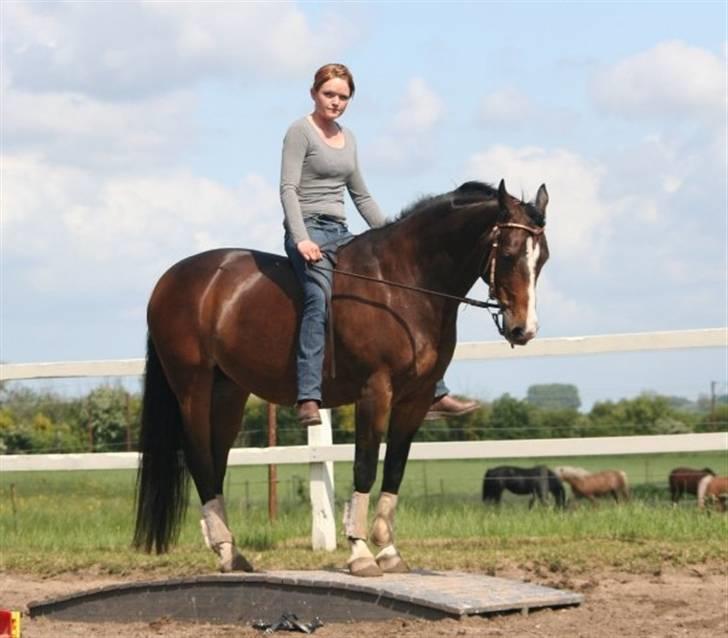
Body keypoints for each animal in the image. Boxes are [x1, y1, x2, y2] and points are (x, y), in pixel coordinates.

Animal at [134, 179, 548, 576]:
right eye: (508, 254)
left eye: (541, 258)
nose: (523, 329)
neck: (400, 284)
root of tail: (169, 280)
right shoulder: (374, 392)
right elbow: (365, 466)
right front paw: (361, 553)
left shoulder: (415, 399)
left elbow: (395, 467)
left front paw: (389, 551)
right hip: (193, 386)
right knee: (200, 458)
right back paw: (223, 546)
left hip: (229, 392)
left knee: (217, 458)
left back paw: (231, 554)